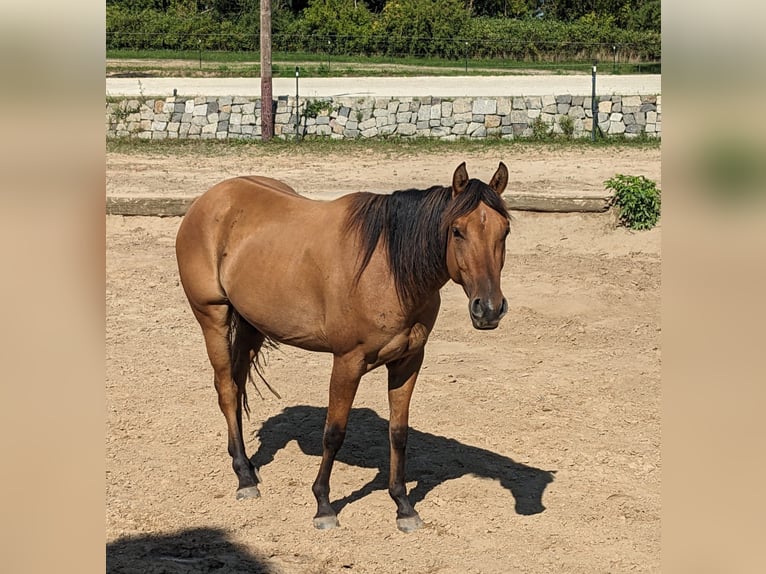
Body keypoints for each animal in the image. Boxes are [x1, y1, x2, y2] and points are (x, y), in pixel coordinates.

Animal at [177, 162, 512, 536]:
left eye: (505, 231)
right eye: (456, 231)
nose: (489, 309)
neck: (388, 269)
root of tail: (210, 199)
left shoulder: (408, 361)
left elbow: (398, 433)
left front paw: (403, 505)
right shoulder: (347, 362)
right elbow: (334, 433)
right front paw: (323, 505)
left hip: (251, 325)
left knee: (236, 387)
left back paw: (247, 466)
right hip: (213, 317)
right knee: (226, 389)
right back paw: (244, 478)